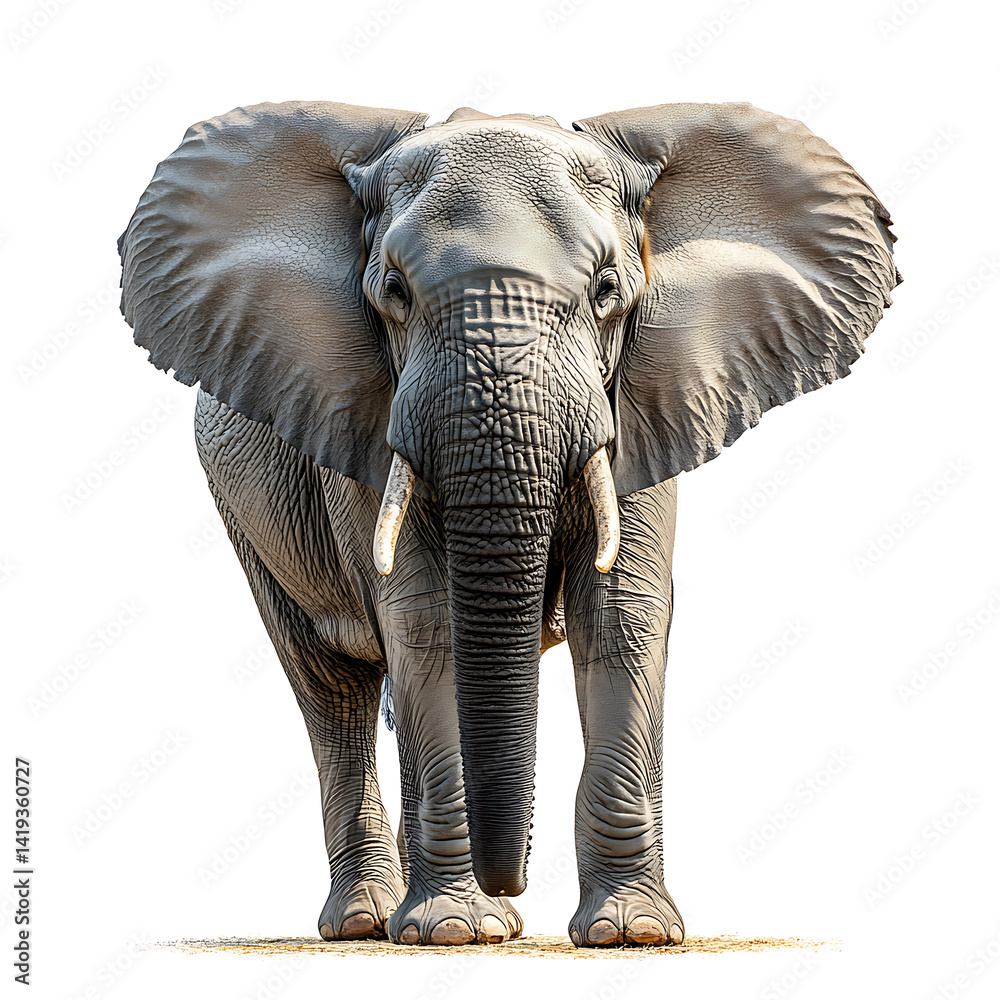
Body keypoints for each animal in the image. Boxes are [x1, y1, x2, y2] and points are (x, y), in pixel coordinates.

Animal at [118, 99, 899, 948]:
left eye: (606, 289)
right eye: (393, 291)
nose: (512, 880)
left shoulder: (642, 397)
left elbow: (621, 615)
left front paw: (631, 933)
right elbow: (426, 619)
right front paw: (457, 932)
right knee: (330, 688)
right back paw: (371, 922)